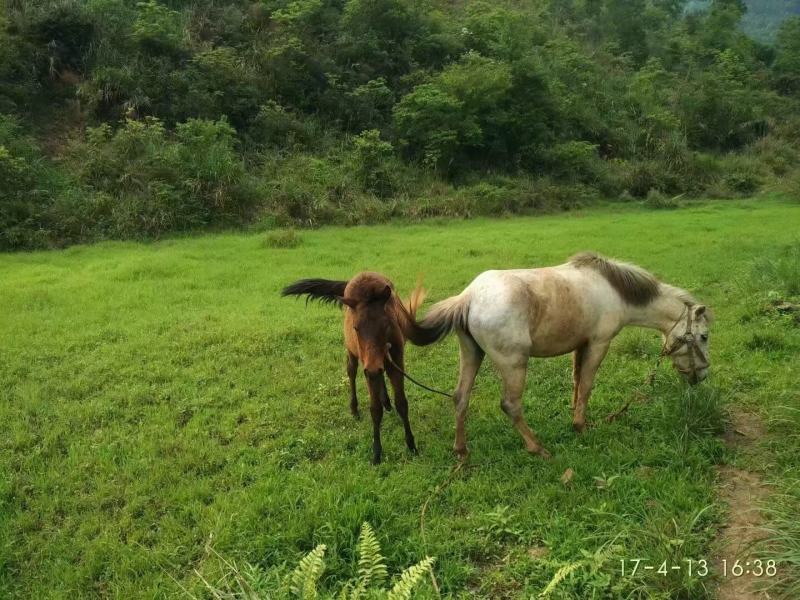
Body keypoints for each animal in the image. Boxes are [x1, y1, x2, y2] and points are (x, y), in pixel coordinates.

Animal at [281, 272, 439, 464]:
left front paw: (411, 445)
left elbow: (402, 403)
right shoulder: (368, 365)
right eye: (356, 327)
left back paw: (386, 401)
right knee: (352, 372)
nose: (372, 368)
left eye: (386, 324)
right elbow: (375, 409)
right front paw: (377, 453)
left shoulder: (396, 361)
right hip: (352, 352)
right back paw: (355, 409)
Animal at [417, 252, 712, 460]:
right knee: (510, 405)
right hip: (514, 364)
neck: (614, 290)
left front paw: (573, 412)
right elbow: (588, 385)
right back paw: (537, 448)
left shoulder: (581, 345)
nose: (701, 375)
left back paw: (461, 450)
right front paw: (581, 425)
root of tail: (467, 297)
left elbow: (576, 380)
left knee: (460, 397)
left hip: (471, 354)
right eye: (704, 337)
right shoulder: (598, 344)